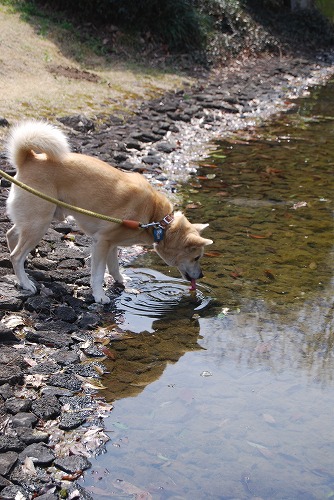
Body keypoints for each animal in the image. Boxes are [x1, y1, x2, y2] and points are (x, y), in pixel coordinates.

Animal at [5, 120, 213, 304]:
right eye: (197, 257)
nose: (202, 275)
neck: (157, 220)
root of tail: (30, 158)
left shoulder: (112, 245)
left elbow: (114, 267)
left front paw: (121, 280)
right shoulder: (102, 242)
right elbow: (98, 274)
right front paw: (100, 296)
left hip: (35, 220)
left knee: (11, 235)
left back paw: (22, 270)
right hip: (39, 223)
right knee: (16, 255)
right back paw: (25, 282)